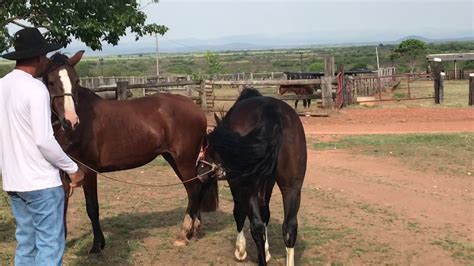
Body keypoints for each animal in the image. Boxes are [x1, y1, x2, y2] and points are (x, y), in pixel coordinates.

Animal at [44, 50, 218, 254]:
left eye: (76, 80)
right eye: (50, 82)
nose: (70, 121)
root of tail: (196, 109)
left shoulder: (88, 171)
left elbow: (92, 208)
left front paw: (97, 245)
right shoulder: (64, 174)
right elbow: (61, 206)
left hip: (184, 159)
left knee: (194, 189)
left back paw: (184, 234)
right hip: (174, 158)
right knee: (194, 189)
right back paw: (194, 229)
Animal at [203, 88, 308, 264]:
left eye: (208, 146)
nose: (202, 172)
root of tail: (271, 111)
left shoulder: (236, 182)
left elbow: (239, 212)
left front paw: (240, 250)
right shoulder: (268, 182)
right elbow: (265, 212)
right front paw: (266, 251)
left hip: (248, 186)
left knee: (256, 227)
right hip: (291, 187)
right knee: (290, 227)